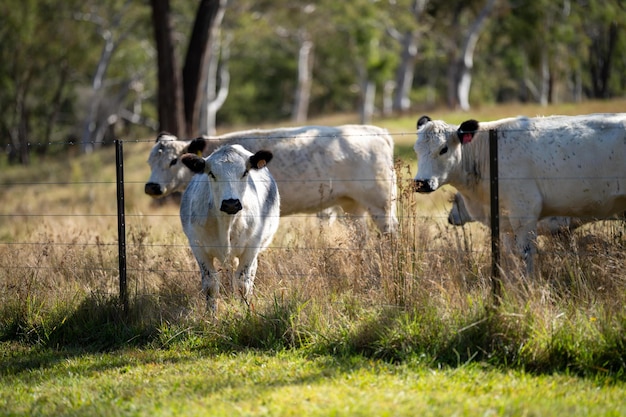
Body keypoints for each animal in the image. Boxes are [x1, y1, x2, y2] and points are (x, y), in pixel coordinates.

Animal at [145, 124, 394, 234]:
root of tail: (374, 131)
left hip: (381, 204)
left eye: (174, 161)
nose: (151, 186)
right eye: (150, 161)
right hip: (353, 205)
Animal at [412, 112, 624, 272]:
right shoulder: (506, 222)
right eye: (416, 149)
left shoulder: (525, 213)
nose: (421, 183)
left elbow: (526, 254)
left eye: (444, 149)